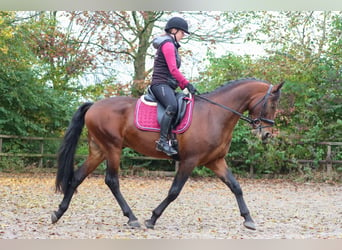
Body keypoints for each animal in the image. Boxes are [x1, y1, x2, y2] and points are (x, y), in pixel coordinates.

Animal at [52, 77, 284, 230]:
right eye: (272, 104)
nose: (266, 134)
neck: (215, 114)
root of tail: (93, 106)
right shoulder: (189, 161)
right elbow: (174, 191)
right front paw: (152, 219)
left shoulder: (215, 161)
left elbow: (236, 186)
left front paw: (248, 219)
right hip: (112, 148)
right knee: (112, 181)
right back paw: (132, 218)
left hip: (99, 150)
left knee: (77, 177)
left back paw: (58, 212)